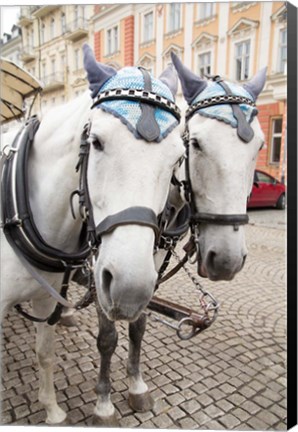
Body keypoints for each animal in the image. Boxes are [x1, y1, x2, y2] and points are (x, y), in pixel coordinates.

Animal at [0, 44, 184, 426]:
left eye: (177, 157)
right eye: (96, 142)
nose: (130, 288)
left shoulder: (47, 296)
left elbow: (45, 352)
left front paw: (53, 411)